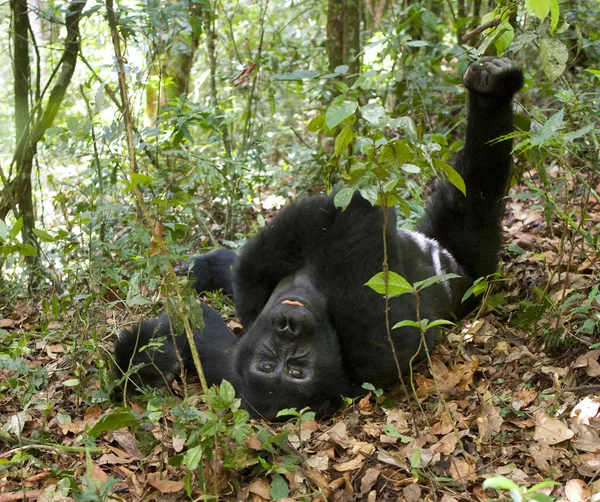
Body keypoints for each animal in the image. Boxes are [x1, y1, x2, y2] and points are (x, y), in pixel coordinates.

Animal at [113, 56, 524, 420]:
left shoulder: (223, 359)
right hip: (471, 268)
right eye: (281, 368)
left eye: (293, 368)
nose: (287, 327)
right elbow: (350, 220)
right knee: (474, 201)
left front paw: (141, 359)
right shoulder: (369, 351)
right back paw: (493, 94)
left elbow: (216, 306)